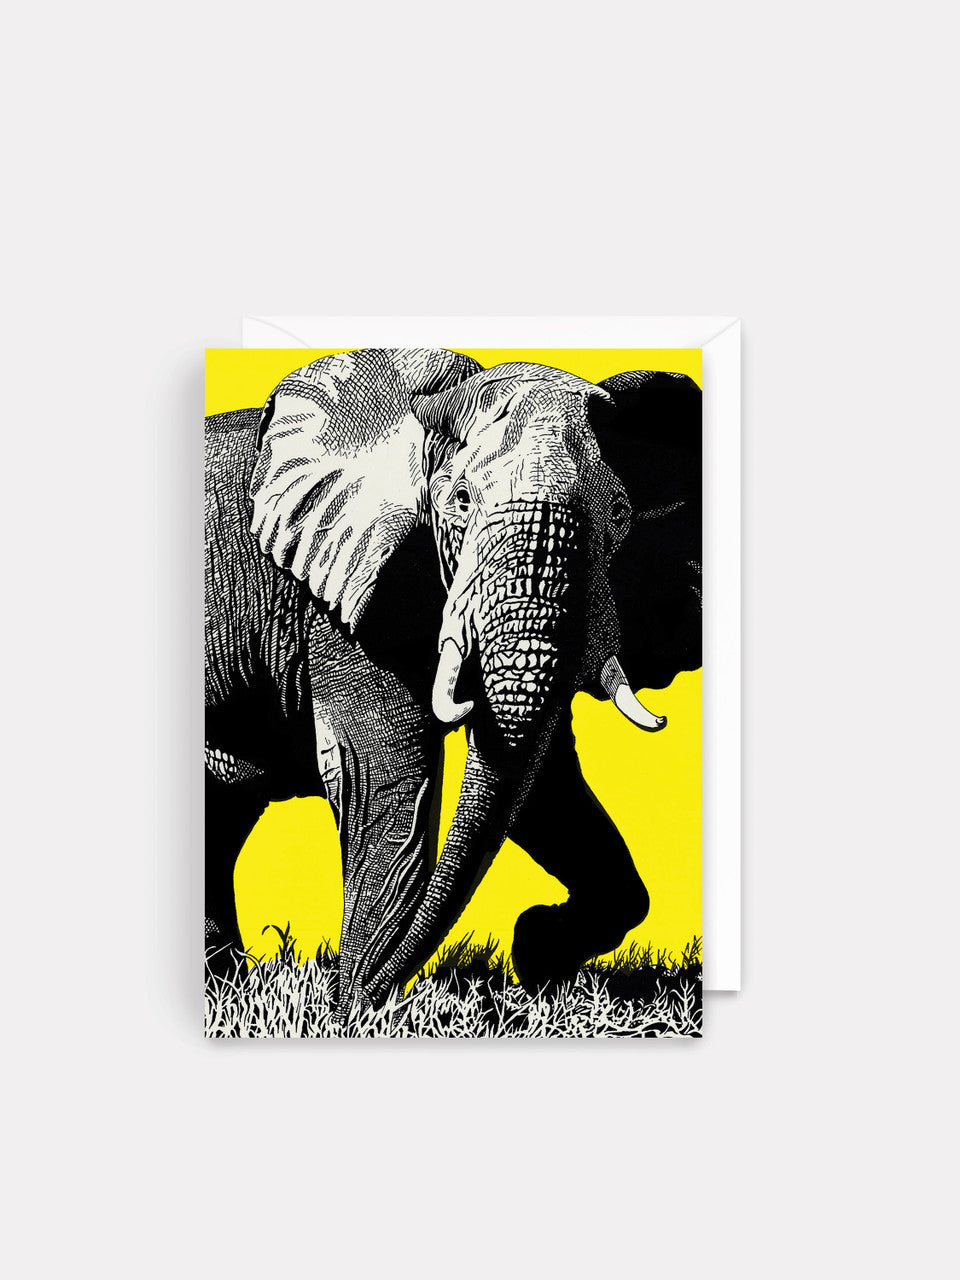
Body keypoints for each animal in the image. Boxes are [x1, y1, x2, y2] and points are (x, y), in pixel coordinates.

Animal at [204, 347, 701, 1016]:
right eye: (459, 503)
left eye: (620, 516)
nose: (350, 997)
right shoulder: (335, 596)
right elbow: (384, 780)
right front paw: (352, 1013)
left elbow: (540, 783)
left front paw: (535, 953)